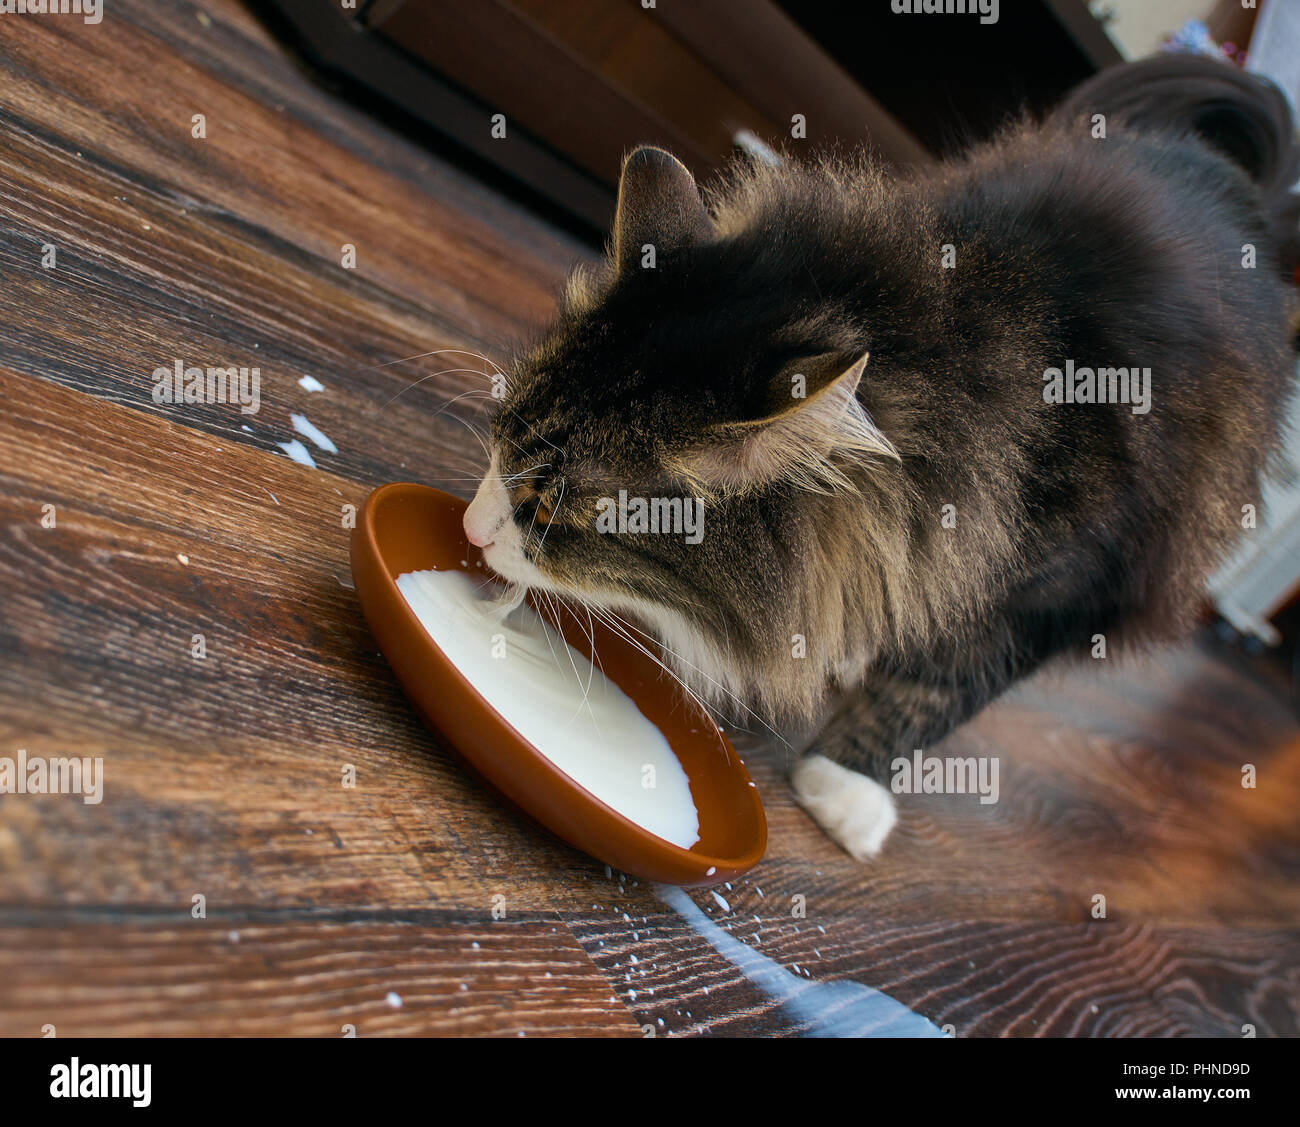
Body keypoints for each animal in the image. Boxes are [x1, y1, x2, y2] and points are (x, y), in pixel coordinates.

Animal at [462, 55, 1294, 852]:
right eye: (499, 437)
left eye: (548, 514)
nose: (470, 529)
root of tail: (1223, 166)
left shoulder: (1073, 585)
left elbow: (939, 687)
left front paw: (843, 787)